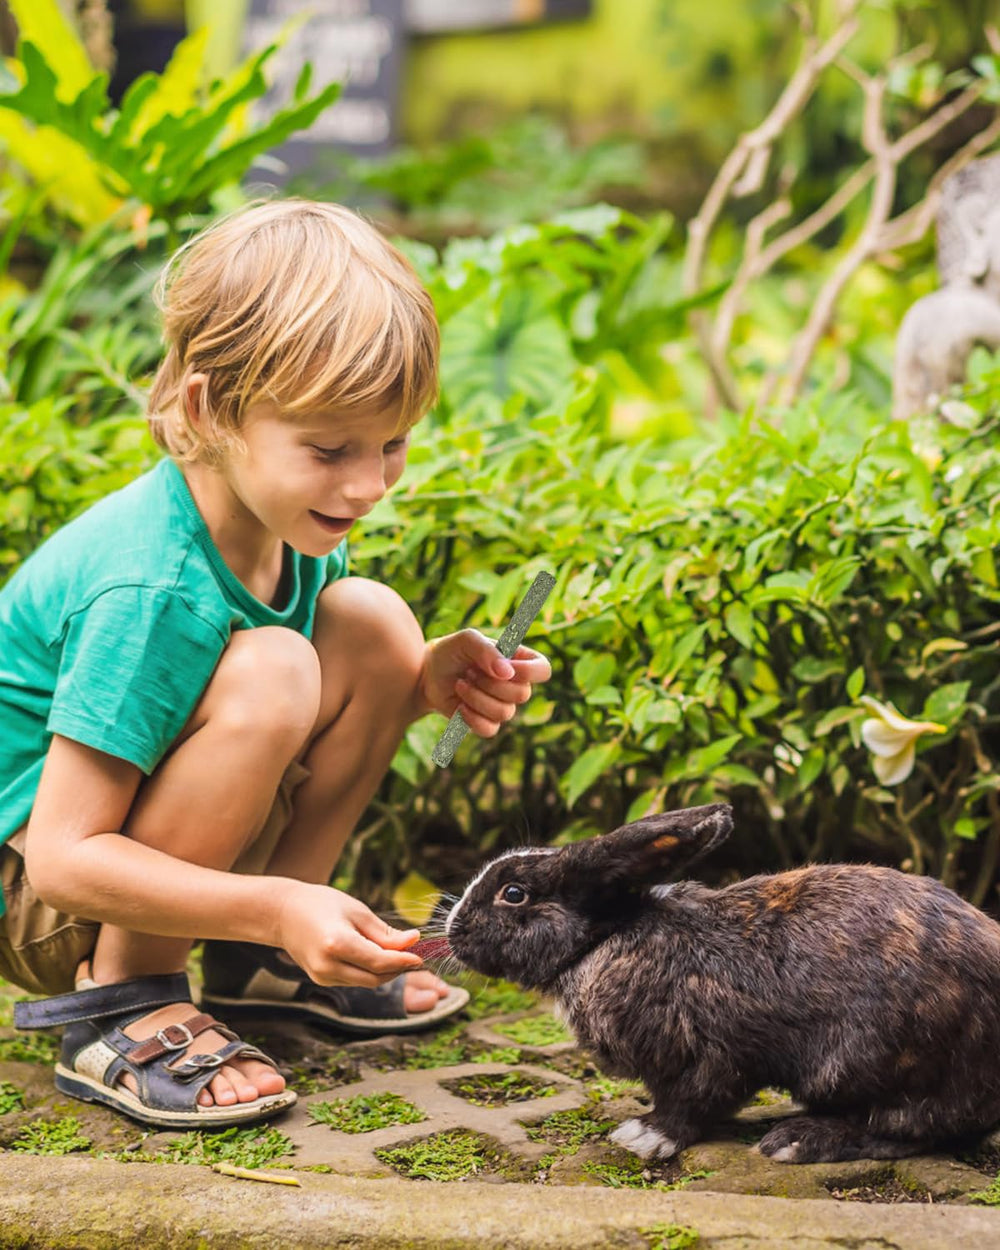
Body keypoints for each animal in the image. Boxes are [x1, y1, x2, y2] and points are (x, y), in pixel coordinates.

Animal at [439, 802, 1000, 1164]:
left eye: (514, 893)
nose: (453, 930)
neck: (602, 940)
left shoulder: (710, 1055)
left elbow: (692, 1102)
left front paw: (643, 1137)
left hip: (871, 1063)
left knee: (913, 1129)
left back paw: (796, 1141)